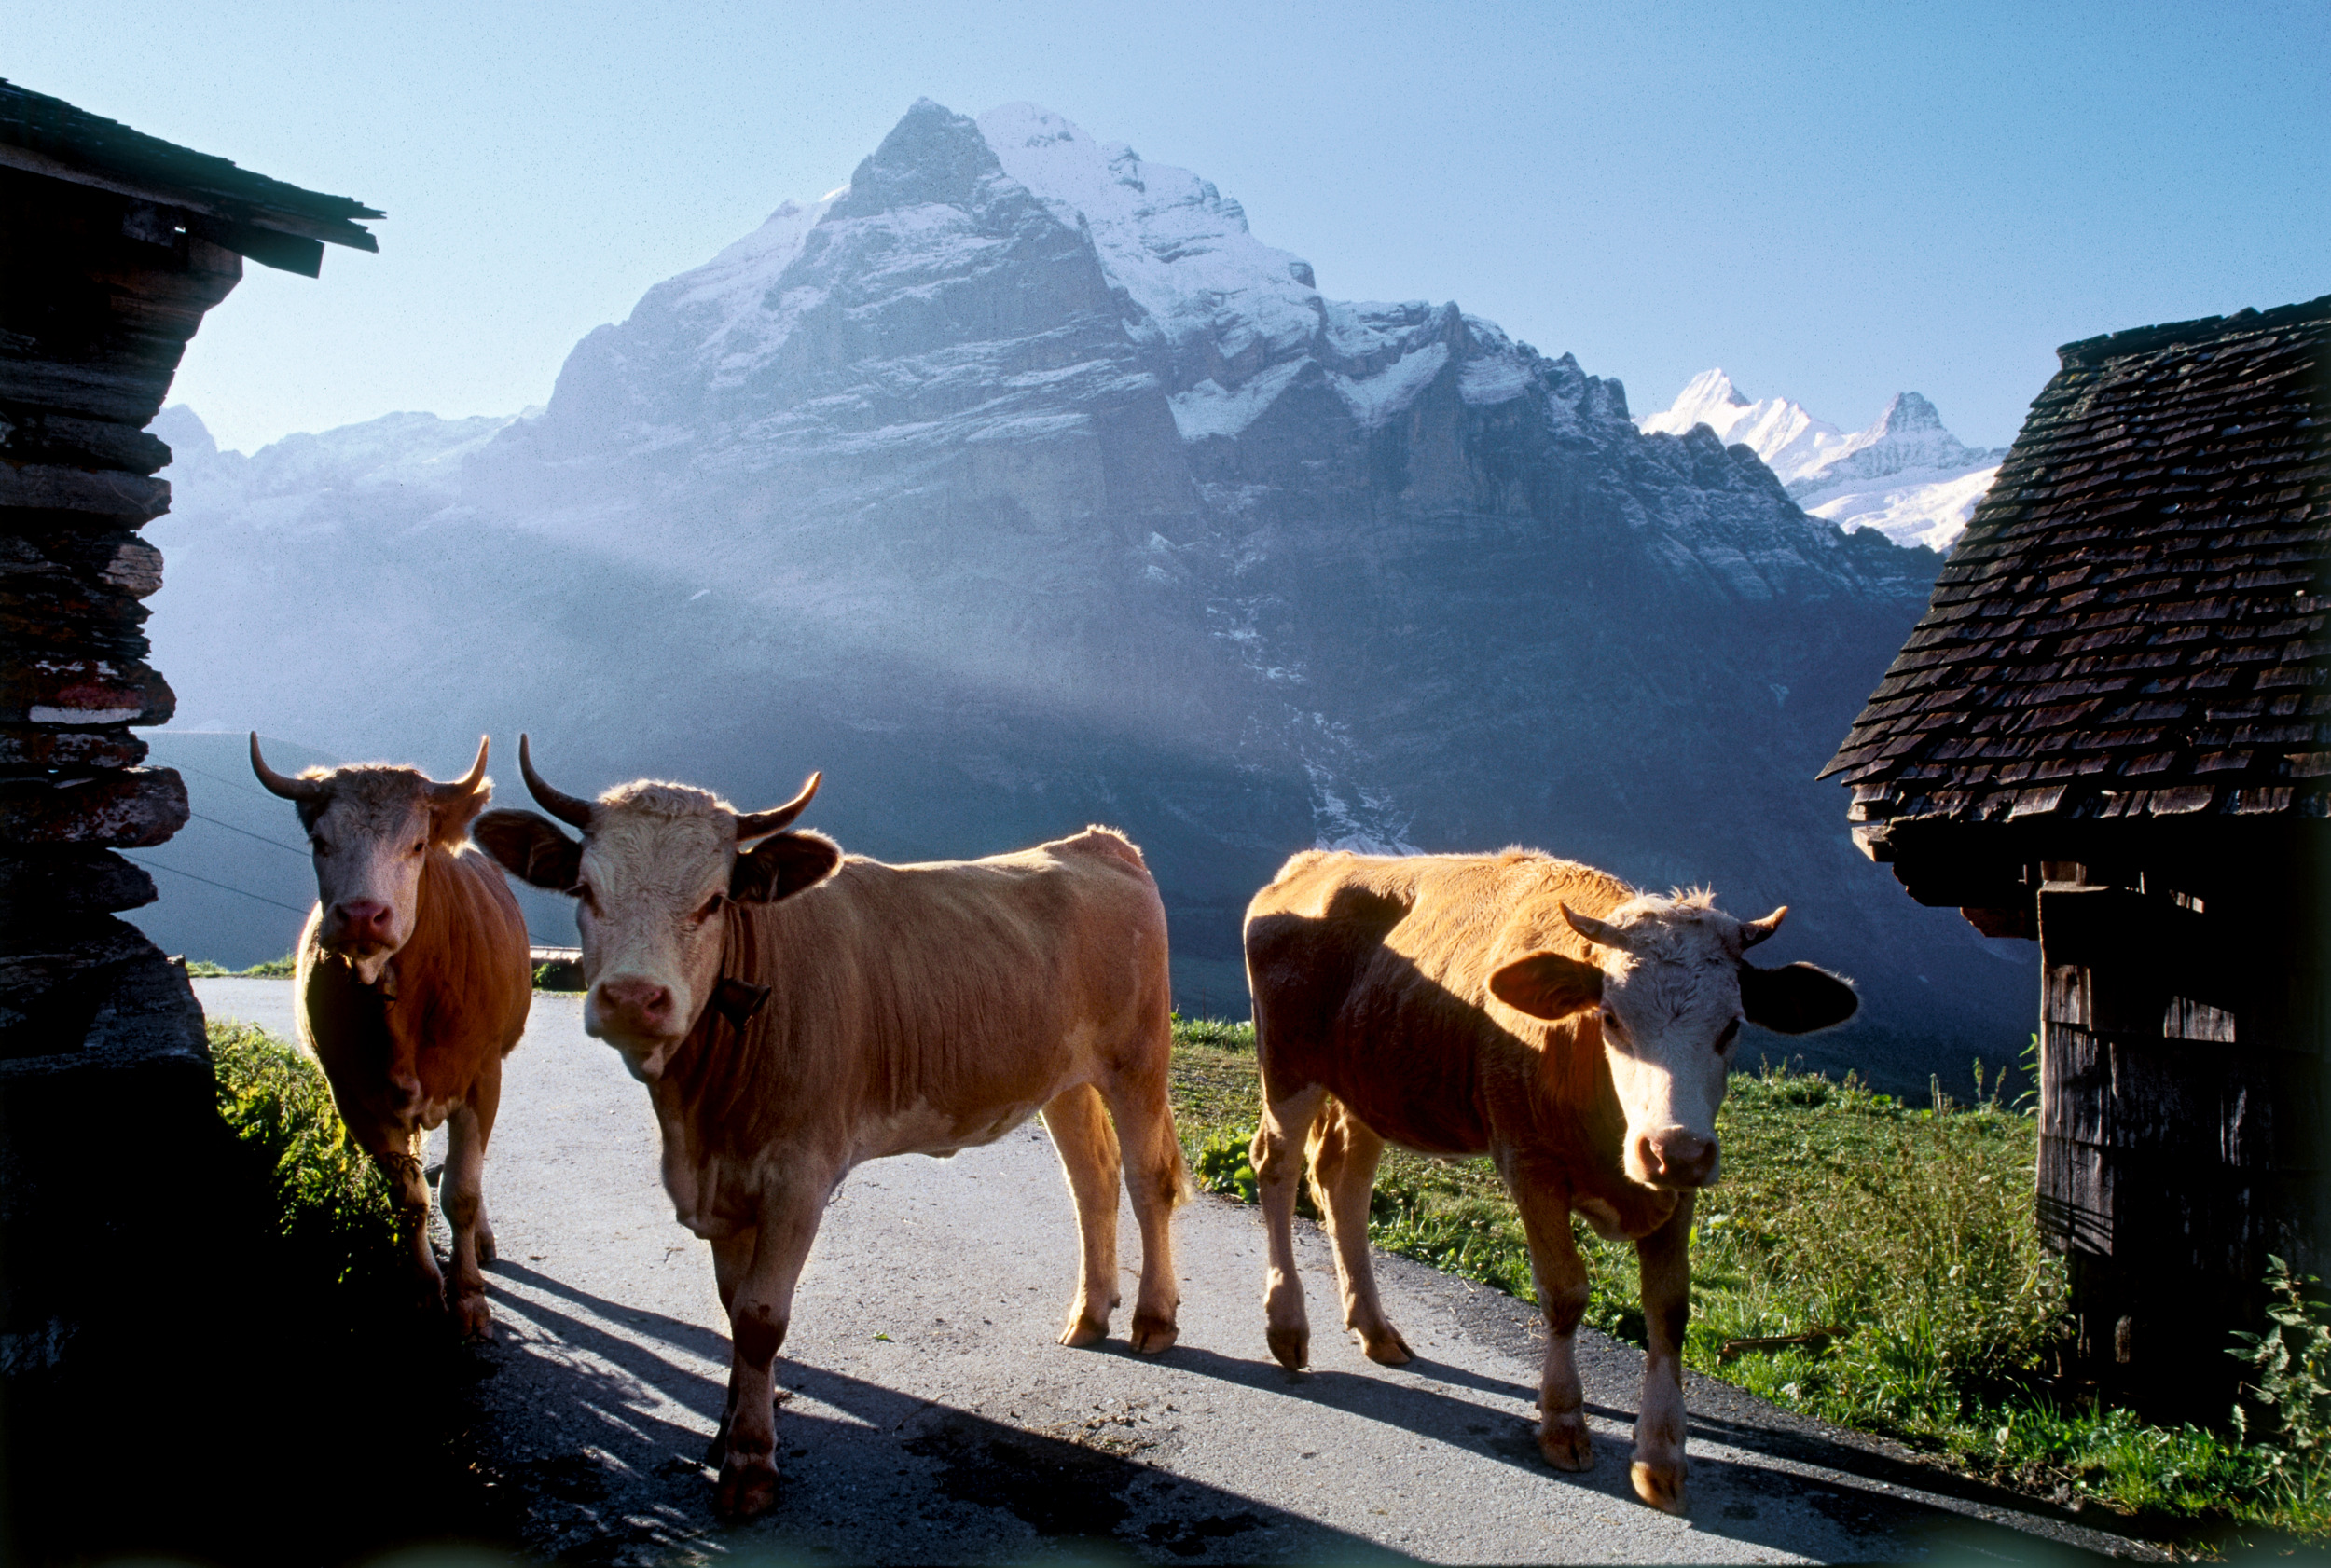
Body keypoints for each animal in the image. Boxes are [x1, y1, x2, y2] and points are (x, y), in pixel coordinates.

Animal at [252, 736, 533, 1332]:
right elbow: (408, 1199)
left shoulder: (482, 1078)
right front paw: (425, 1291)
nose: (362, 915)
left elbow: (462, 1192)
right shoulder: (354, 1096)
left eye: (418, 844)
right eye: (321, 842)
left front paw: (468, 1296)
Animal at [480, 736, 1193, 1519]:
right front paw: (727, 1429)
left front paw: (751, 1464)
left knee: (1147, 1181)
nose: (634, 998)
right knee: (1091, 1184)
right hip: (1061, 1079)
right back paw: (1090, 1315)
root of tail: (1097, 843)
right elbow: (730, 1307)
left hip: (1137, 1060)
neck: (698, 1115)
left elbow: (760, 1317)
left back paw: (1154, 1320)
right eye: (584, 891)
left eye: (714, 900)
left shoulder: (799, 1174)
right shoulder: (726, 1182)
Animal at [1240, 847, 1855, 1509]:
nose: (1675, 1149)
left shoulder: (1680, 1189)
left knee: (1342, 1181)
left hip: (1368, 1082)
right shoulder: (1529, 1163)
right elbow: (1564, 1293)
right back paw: (1287, 1324)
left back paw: (1375, 1329)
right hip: (1288, 1065)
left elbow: (1669, 1309)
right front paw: (1563, 1422)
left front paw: (1661, 1454)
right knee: (1276, 1168)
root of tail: (1322, 860)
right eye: (1611, 1018)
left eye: (1733, 1025)